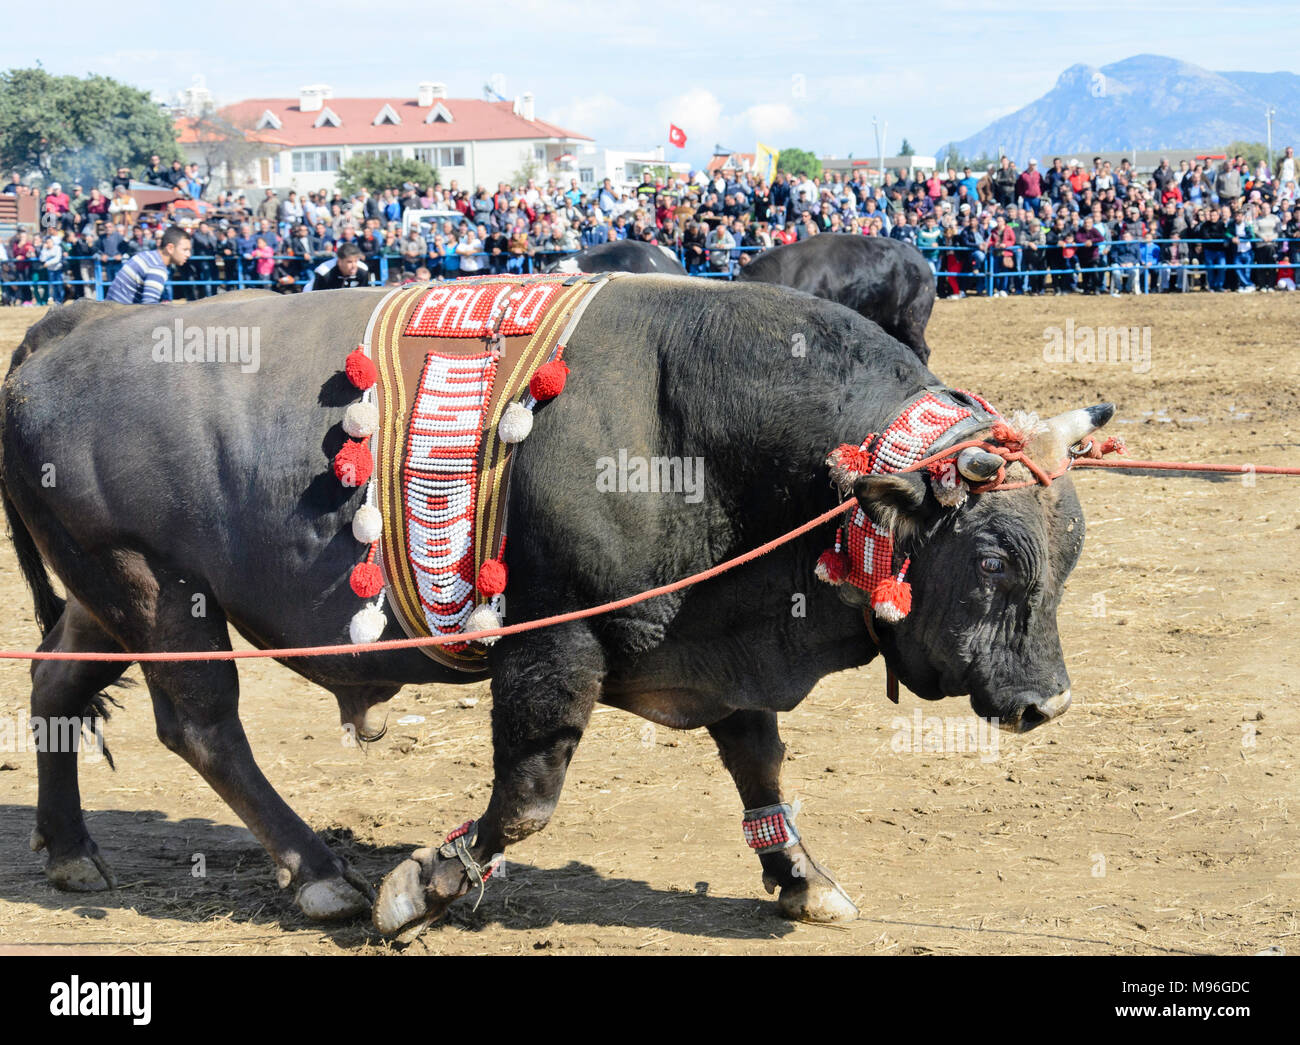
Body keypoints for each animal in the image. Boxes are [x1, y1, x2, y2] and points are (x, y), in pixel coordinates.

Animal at [0, 284, 1110, 940]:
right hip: (158, 593)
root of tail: (69, 326)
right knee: (203, 727)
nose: (1049, 702)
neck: (688, 423)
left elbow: (759, 765)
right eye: (992, 559)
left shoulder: (719, 637)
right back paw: (317, 872)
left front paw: (801, 872)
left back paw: (70, 849)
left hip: (103, 603)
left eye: (1068, 547)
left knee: (56, 688)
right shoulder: (556, 642)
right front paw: (421, 885)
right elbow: (529, 794)